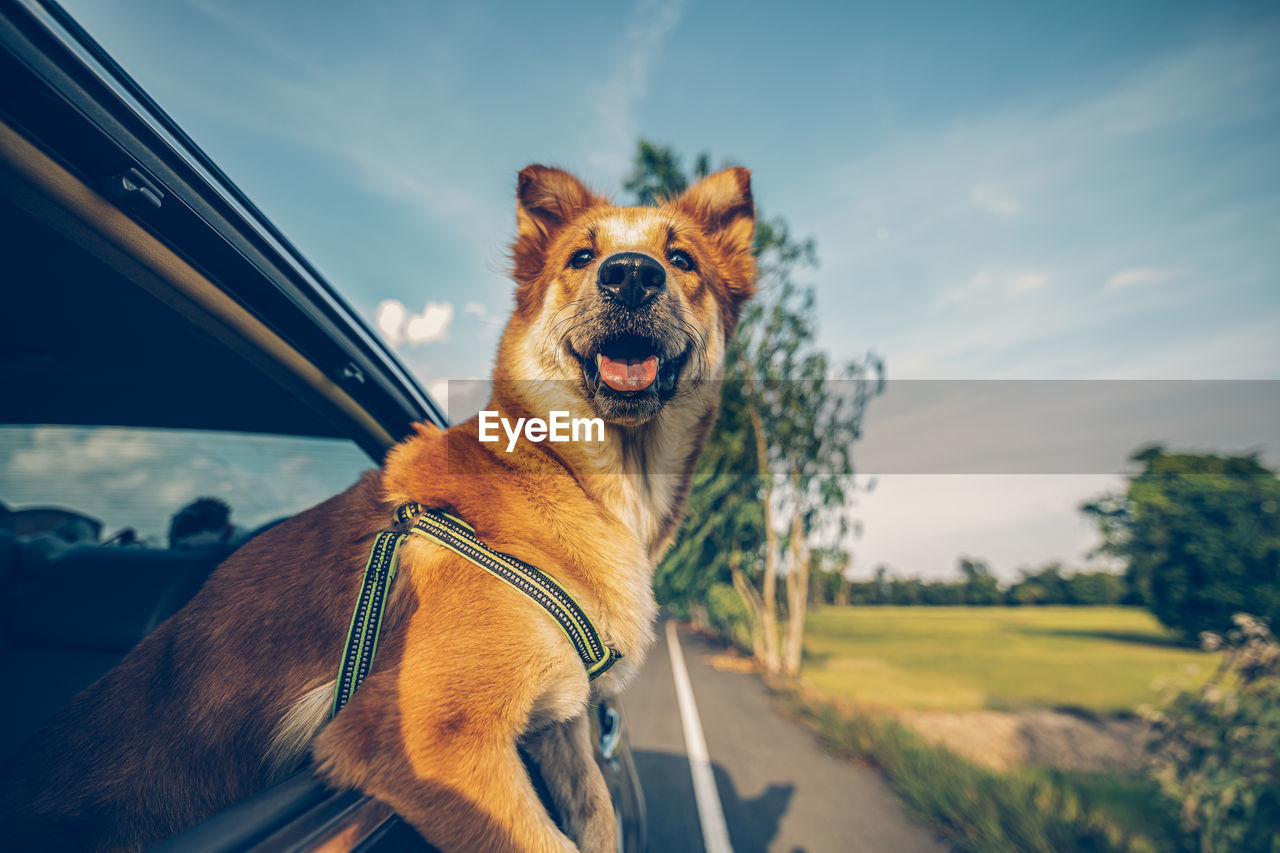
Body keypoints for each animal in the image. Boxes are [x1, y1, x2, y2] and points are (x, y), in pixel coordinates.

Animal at [0, 162, 752, 845]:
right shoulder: (428, 736)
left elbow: (596, 813)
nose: (632, 275)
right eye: (582, 257)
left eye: (680, 259)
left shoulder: (561, 719)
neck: (574, 475)